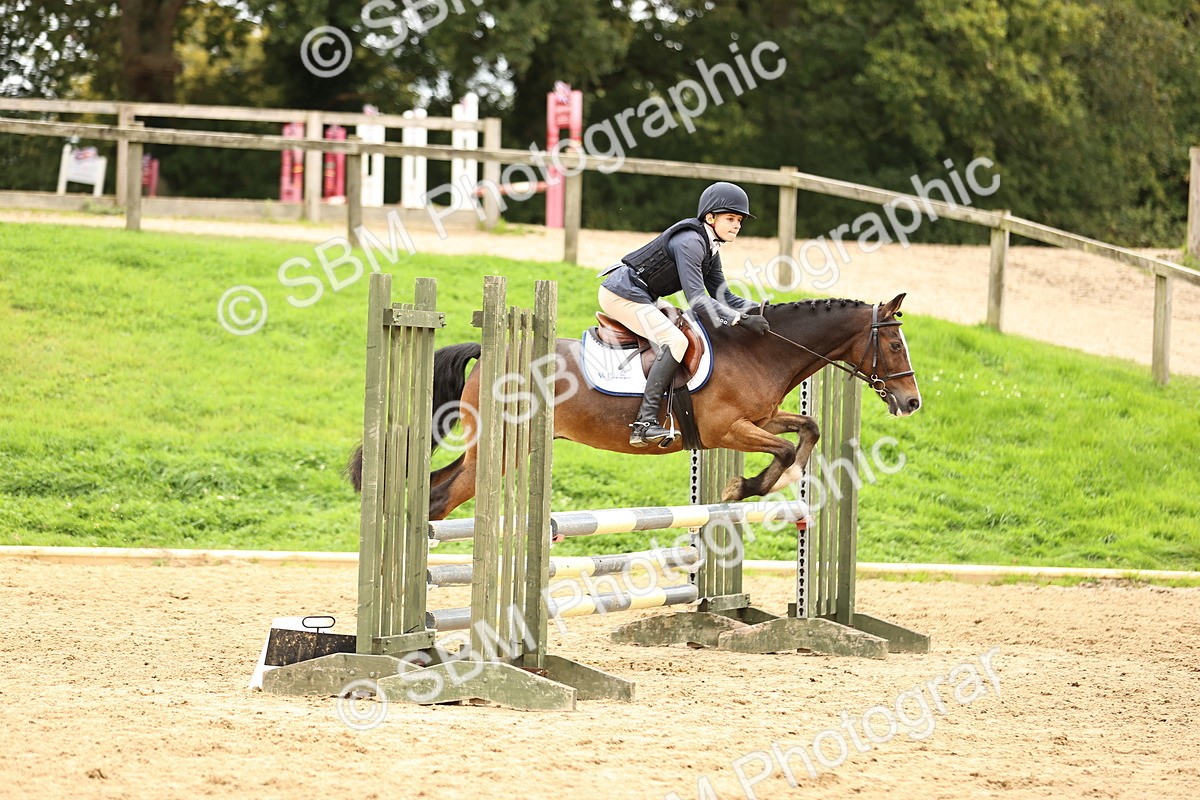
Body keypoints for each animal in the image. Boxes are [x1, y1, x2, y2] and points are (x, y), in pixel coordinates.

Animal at [347, 293, 920, 520]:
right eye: (895, 345)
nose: (912, 402)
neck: (758, 350)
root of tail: (489, 352)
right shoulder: (726, 430)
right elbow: (783, 450)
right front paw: (747, 487)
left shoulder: (757, 419)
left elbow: (809, 427)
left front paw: (762, 484)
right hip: (500, 449)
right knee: (441, 499)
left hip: (496, 449)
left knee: (434, 488)